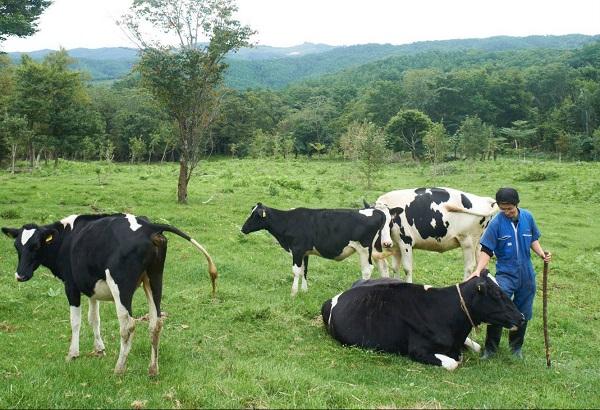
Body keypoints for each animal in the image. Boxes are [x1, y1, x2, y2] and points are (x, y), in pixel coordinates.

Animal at [1, 213, 218, 376]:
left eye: (36, 246)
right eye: (17, 247)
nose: (20, 275)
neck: (66, 239)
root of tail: (148, 226)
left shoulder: (71, 286)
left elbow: (76, 321)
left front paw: (73, 354)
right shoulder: (90, 288)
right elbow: (94, 319)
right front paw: (99, 349)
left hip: (121, 285)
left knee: (128, 325)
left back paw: (119, 368)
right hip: (154, 279)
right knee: (155, 323)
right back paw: (153, 369)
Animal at [239, 203, 394, 296]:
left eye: (255, 215)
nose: (243, 228)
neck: (289, 221)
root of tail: (375, 210)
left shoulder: (297, 250)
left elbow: (296, 271)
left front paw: (293, 292)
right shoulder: (305, 252)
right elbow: (304, 270)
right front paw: (304, 290)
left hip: (364, 249)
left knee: (367, 270)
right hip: (376, 249)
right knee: (383, 267)